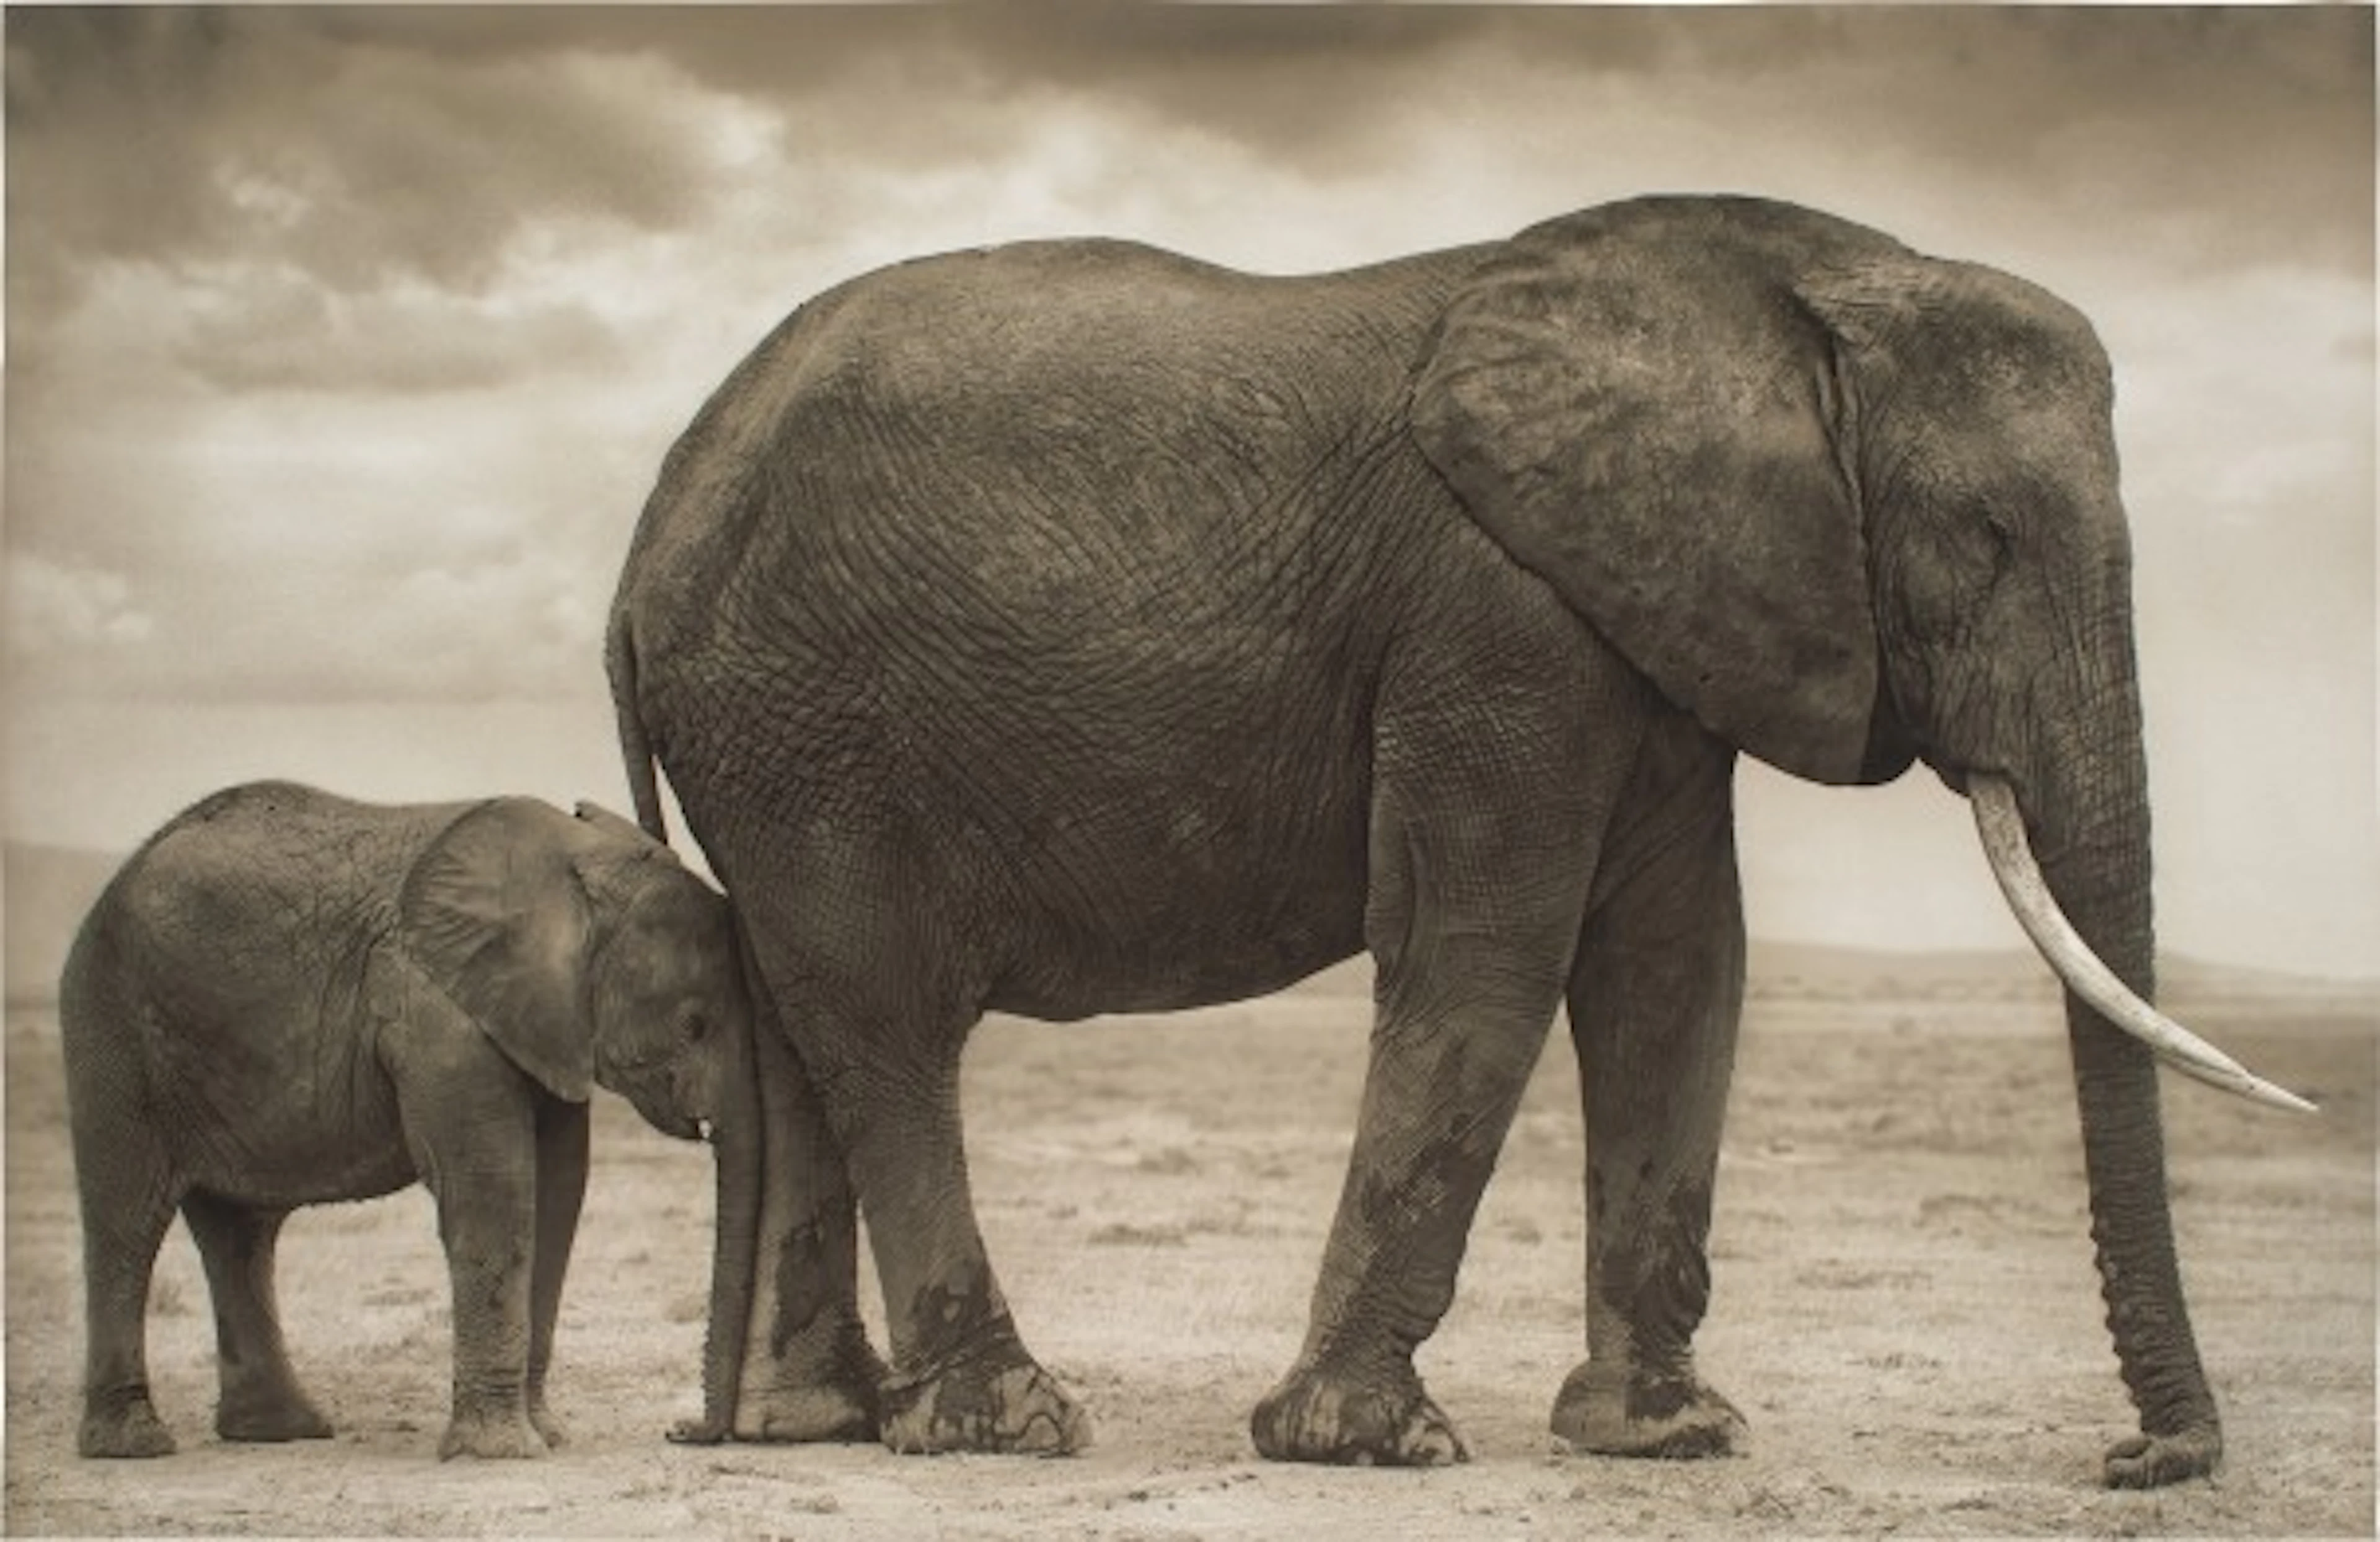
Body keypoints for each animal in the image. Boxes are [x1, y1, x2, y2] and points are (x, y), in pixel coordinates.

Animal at [60, 780, 787, 1461]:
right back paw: (135, 1444)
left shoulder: (543, 1025)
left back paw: (280, 1431)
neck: (573, 864)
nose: (682, 1430)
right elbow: (493, 1194)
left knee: (241, 1233)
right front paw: (502, 1452)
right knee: (128, 1220)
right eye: (694, 1024)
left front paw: (547, 1436)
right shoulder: (436, 1010)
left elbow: (556, 1198)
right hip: (112, 1024)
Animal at [603, 194, 2307, 1486]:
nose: (2137, 1461)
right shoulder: (1497, 618)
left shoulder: (1644, 626)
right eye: (1983, 539)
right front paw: (1365, 1445)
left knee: (794, 1032)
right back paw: (1008, 1424)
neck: (1797, 279)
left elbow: (1677, 968)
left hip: (774, 738)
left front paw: (1665, 1438)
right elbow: (1486, 952)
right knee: (884, 1025)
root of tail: (647, 531)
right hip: (805, 725)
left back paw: (816, 1422)